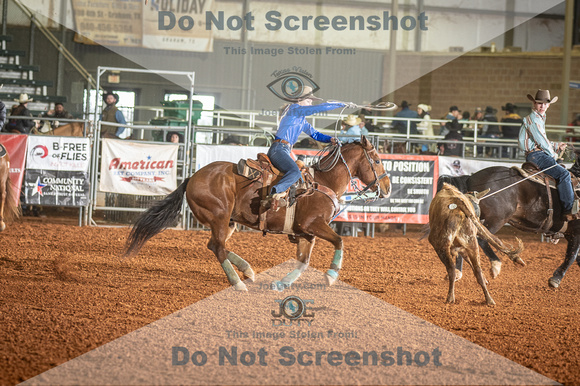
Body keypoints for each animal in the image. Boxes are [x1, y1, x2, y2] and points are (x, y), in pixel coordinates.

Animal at [125, 137, 392, 292]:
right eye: (377, 160)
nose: (388, 187)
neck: (322, 183)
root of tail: (192, 177)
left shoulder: (305, 234)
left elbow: (303, 261)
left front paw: (282, 283)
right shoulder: (313, 224)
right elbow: (339, 241)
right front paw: (331, 276)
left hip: (228, 222)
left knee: (215, 245)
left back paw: (248, 271)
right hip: (220, 216)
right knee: (218, 247)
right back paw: (238, 283)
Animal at [440, 152, 580, 288]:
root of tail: (470, 178)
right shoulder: (576, 233)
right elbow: (571, 256)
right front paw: (555, 279)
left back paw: (458, 272)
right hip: (496, 219)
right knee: (481, 239)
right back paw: (497, 264)